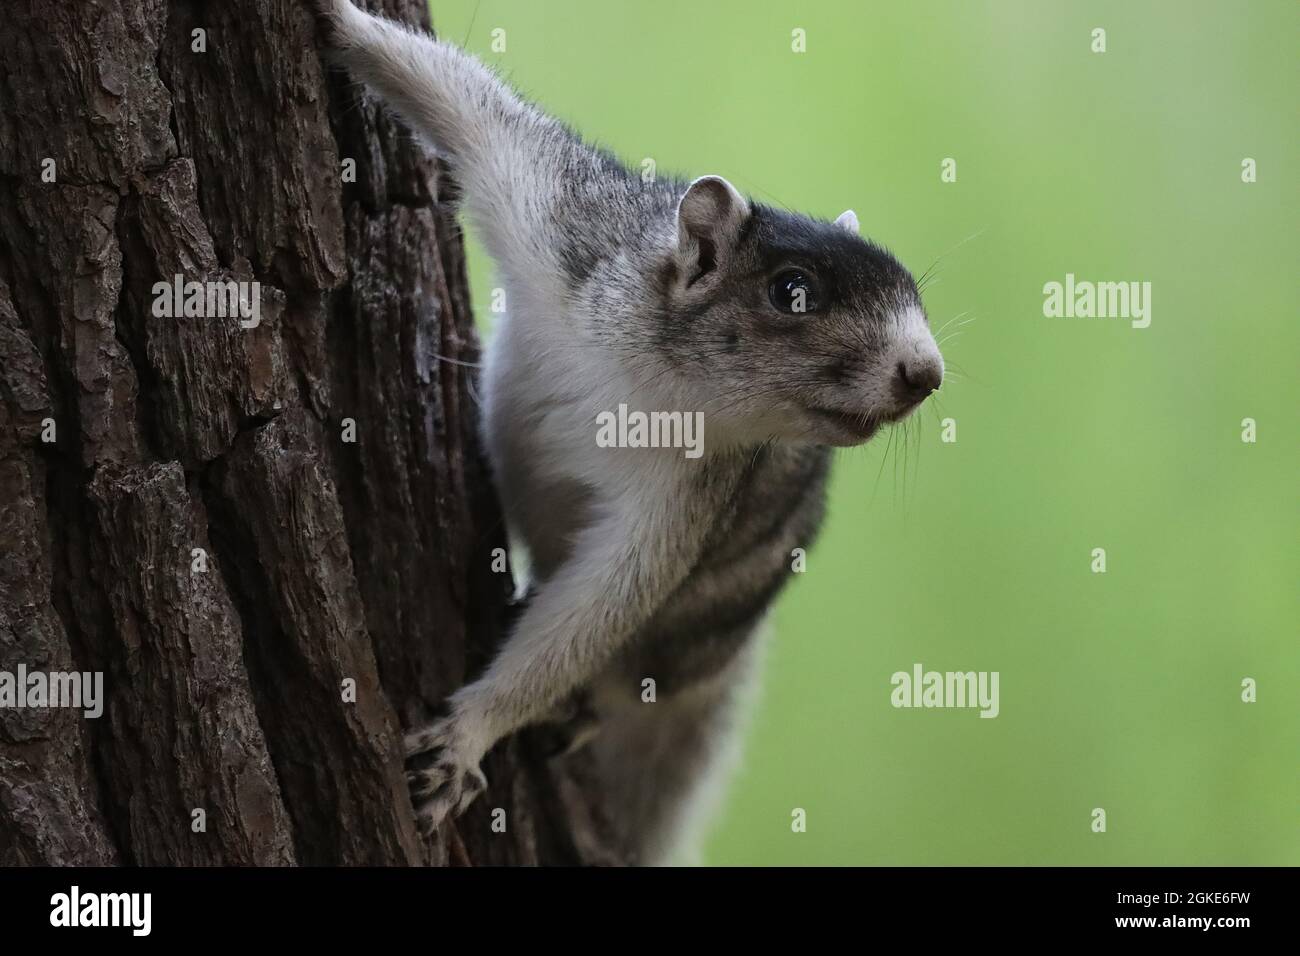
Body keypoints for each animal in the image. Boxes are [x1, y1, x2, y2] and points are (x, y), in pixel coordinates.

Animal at [309, 1, 941, 868]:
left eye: (914, 289)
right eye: (792, 291)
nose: (927, 371)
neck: (645, 377)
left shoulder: (686, 494)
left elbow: (603, 602)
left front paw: (470, 733)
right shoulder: (557, 220)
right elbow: (459, 101)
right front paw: (337, 23)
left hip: (697, 625)